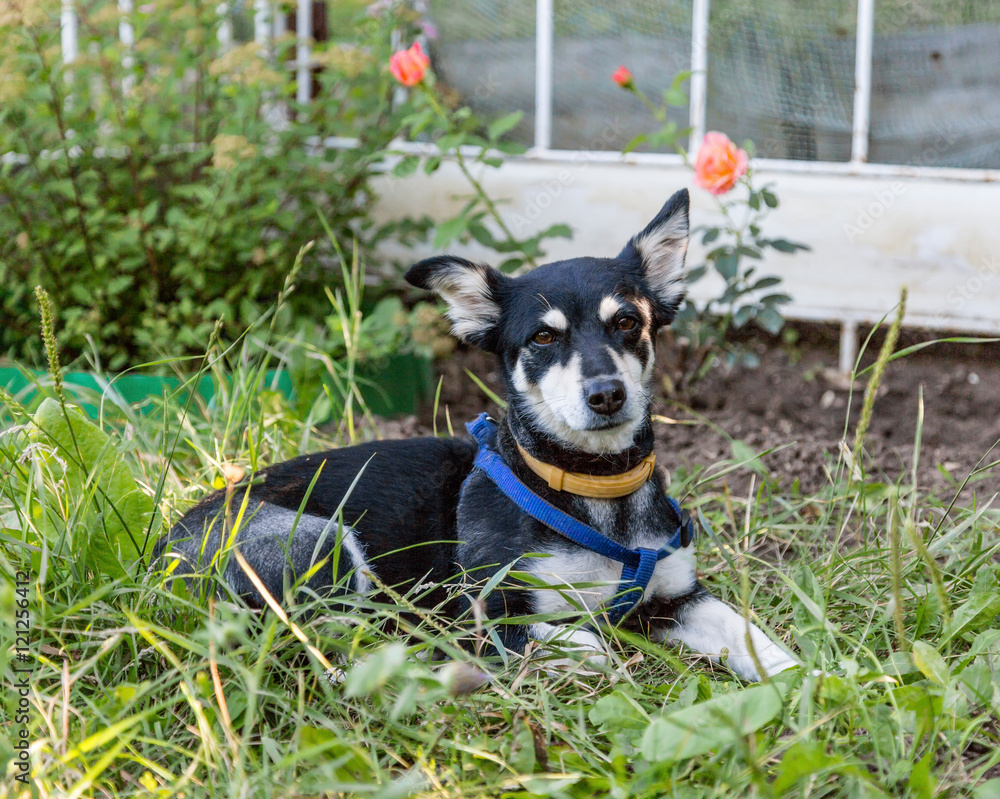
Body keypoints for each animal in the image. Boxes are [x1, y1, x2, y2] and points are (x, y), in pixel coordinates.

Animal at [153, 188, 798, 681]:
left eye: (627, 322)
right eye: (543, 337)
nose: (607, 394)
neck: (593, 487)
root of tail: (159, 556)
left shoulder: (676, 596)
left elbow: (749, 633)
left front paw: (803, 681)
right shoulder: (489, 611)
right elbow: (586, 643)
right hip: (319, 542)